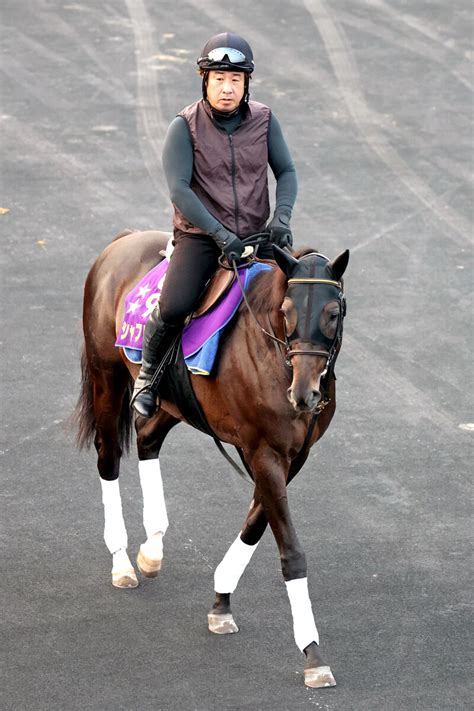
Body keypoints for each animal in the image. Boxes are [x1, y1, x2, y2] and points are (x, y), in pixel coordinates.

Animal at [74, 229, 348, 688]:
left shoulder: (294, 455)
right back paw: (123, 562)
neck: (274, 356)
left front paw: (221, 601)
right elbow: (290, 551)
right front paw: (312, 653)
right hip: (106, 374)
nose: (304, 394)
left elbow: (256, 523)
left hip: (173, 400)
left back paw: (152, 548)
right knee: (108, 457)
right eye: (287, 311)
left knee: (148, 438)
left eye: (333, 312)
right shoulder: (263, 450)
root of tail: (123, 240)